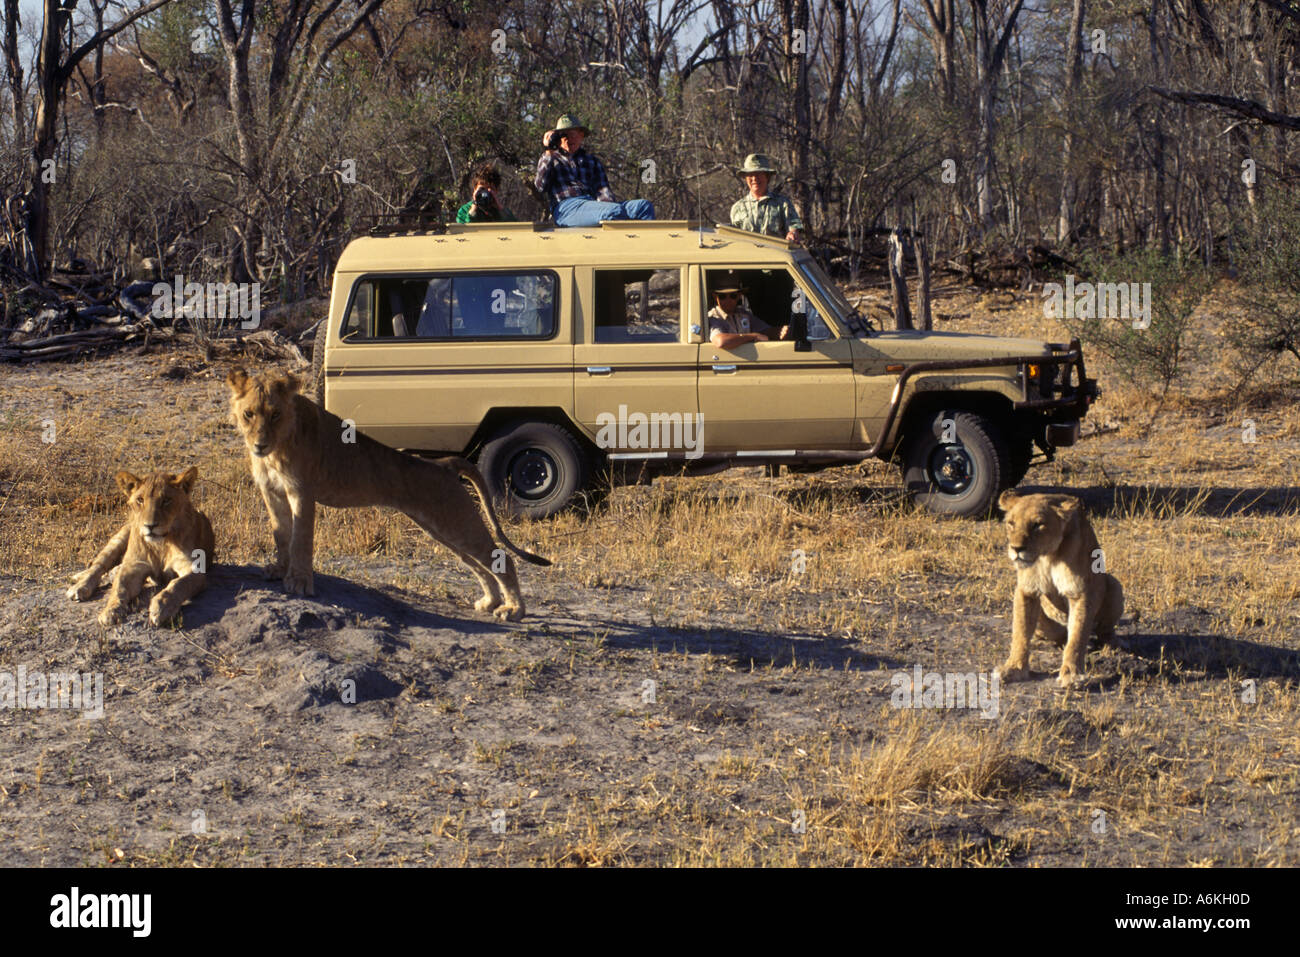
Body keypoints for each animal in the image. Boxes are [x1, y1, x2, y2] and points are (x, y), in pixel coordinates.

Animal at [67, 467, 215, 627]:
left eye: (166, 500)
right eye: (140, 500)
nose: (150, 526)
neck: (160, 544)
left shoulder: (194, 570)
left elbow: (178, 584)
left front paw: (161, 608)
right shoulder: (134, 566)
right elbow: (119, 588)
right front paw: (110, 611)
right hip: (119, 539)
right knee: (97, 567)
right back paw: (79, 586)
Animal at [226, 367, 550, 621]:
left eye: (276, 414)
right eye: (249, 414)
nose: (259, 444)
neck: (274, 451)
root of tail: (443, 464)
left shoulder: (302, 492)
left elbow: (301, 541)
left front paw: (299, 582)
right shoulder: (272, 493)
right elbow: (282, 535)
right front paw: (279, 570)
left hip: (454, 522)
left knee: (501, 558)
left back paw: (514, 610)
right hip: (440, 528)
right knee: (479, 565)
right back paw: (490, 601)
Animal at [996, 489, 1124, 688]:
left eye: (1037, 525)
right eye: (1011, 523)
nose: (1016, 549)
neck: (1048, 555)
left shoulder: (1080, 592)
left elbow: (1077, 636)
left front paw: (1071, 675)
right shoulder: (1026, 591)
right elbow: (1020, 632)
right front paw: (1013, 668)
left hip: (1114, 585)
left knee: (1103, 630)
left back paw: (1111, 644)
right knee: (1058, 635)